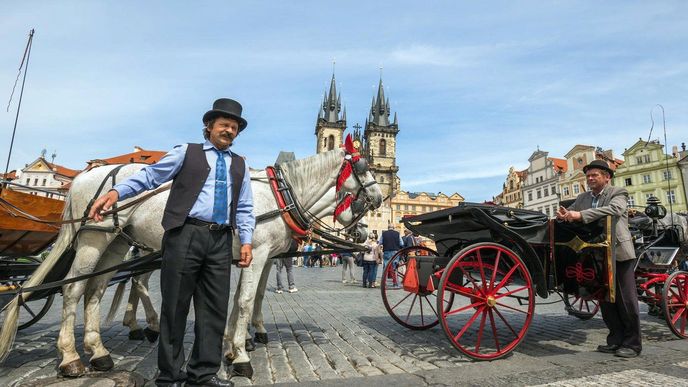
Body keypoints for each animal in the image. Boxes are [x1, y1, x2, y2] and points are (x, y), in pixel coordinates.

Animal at [0, 140, 382, 378]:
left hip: (117, 245)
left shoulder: (256, 257)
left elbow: (244, 299)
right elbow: (246, 301)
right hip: (95, 241)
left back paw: (100, 353)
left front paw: (234, 345)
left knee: (97, 290)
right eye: (364, 169)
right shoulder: (259, 254)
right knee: (74, 291)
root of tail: (86, 176)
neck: (279, 196)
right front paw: (242, 355)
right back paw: (71, 358)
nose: (377, 205)